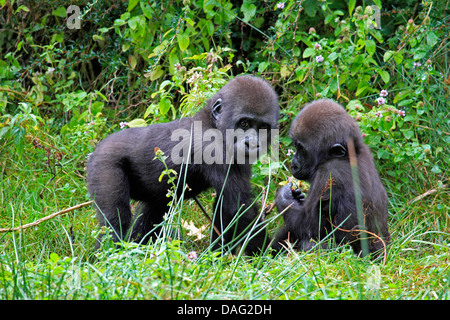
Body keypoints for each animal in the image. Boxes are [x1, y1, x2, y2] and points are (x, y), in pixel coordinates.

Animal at [86, 75, 280, 255]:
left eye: (263, 127)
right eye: (244, 123)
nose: (252, 144)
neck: (214, 123)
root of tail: (96, 150)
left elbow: (228, 207)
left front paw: (219, 255)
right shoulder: (213, 147)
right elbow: (240, 209)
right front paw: (271, 254)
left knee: (153, 211)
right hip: (104, 163)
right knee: (114, 221)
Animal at [272, 99, 392, 258]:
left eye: (302, 150)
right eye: (296, 147)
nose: (294, 164)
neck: (349, 155)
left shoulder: (328, 173)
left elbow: (308, 226)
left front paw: (284, 196)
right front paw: (296, 195)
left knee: (309, 243)